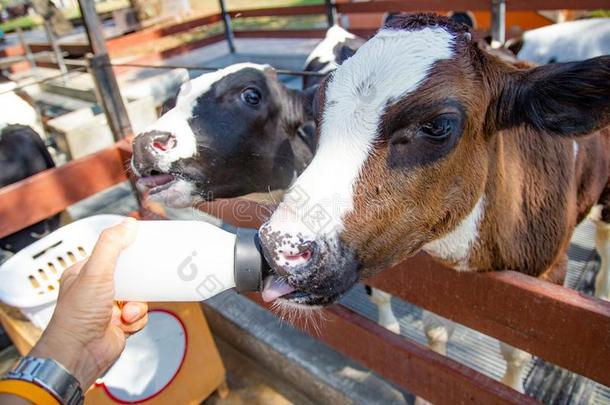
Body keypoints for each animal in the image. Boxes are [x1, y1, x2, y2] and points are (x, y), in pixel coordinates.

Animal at [258, 12, 608, 390]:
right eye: (318, 110)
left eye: (438, 126)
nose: (277, 249)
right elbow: (435, 331)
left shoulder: (550, 272)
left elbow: (517, 354)